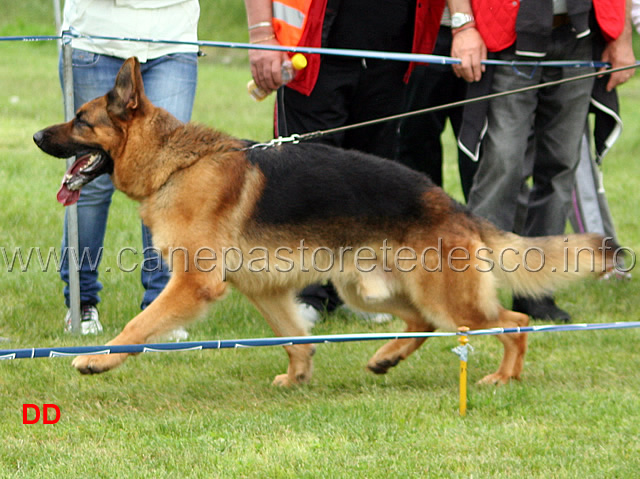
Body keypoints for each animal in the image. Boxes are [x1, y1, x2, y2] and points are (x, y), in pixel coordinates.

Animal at [33, 57, 616, 386]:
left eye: (80, 121)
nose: (38, 136)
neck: (175, 163)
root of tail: (451, 203)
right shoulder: (265, 291)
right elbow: (295, 337)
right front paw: (298, 377)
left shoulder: (194, 284)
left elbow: (140, 326)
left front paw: (96, 362)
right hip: (370, 289)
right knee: (424, 324)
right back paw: (386, 359)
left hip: (445, 297)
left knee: (513, 323)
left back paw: (502, 376)